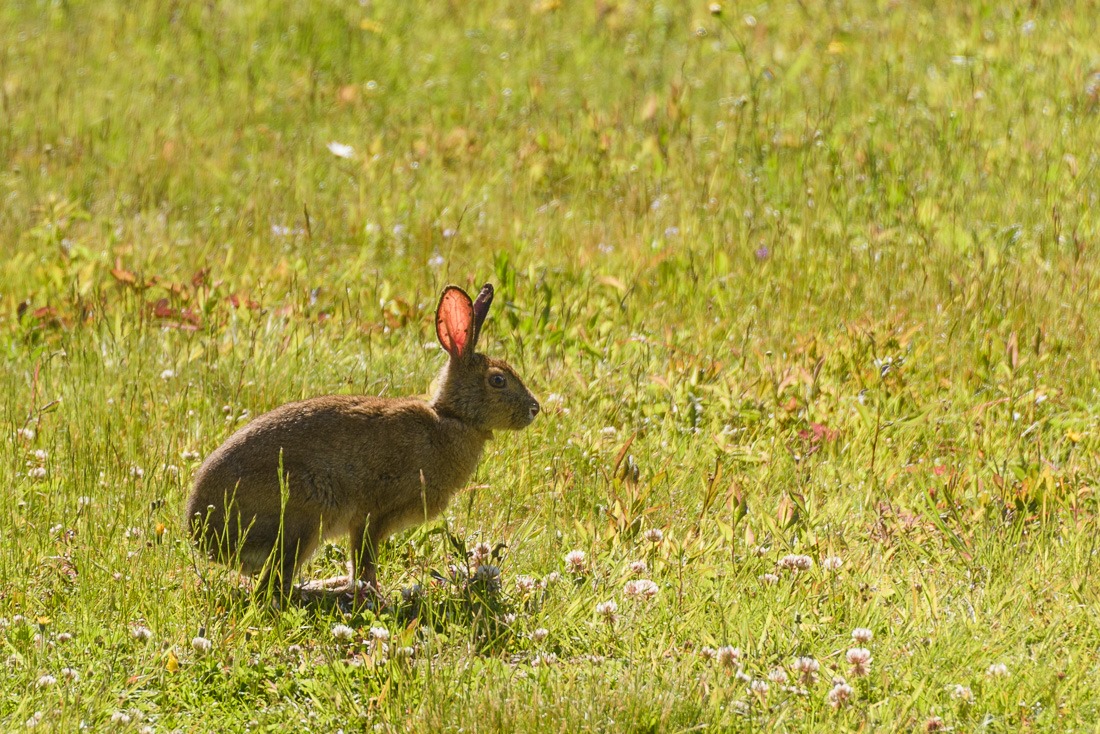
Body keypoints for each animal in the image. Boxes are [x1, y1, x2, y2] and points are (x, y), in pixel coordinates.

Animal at [184, 283, 539, 600]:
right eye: (498, 380)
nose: (535, 409)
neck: (453, 418)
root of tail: (202, 534)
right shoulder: (374, 514)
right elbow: (366, 564)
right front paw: (377, 597)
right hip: (304, 515)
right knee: (276, 587)